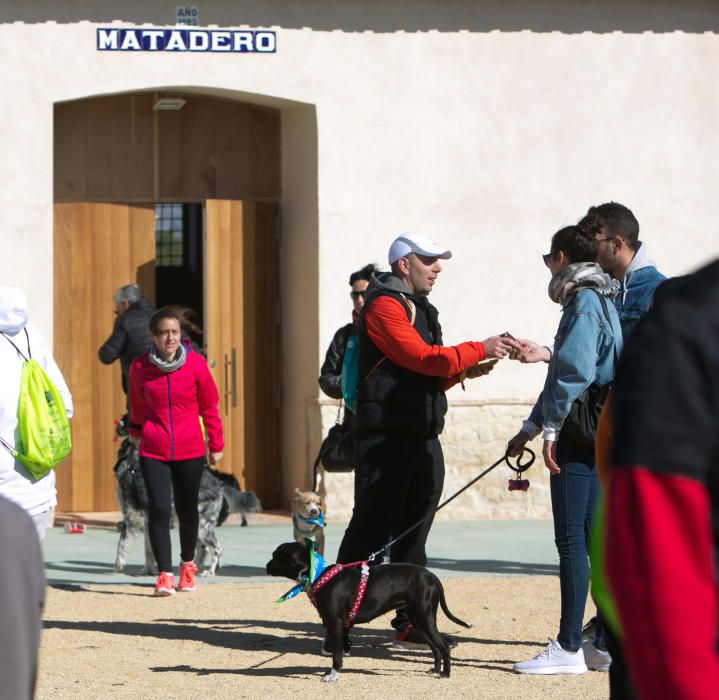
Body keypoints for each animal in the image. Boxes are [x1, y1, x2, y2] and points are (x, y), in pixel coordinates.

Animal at [111, 440, 260, 576]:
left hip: (202, 527)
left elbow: (121, 543)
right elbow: (149, 549)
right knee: (204, 549)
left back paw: (209, 572)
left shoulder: (132, 517)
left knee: (217, 549)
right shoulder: (148, 521)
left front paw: (118, 566)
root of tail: (219, 484)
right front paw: (148, 570)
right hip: (197, 525)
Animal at [266, 540, 472, 684]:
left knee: (442, 646)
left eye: (276, 556)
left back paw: (445, 674)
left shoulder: (335, 622)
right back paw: (436, 670)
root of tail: (432, 576)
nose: (266, 566)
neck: (319, 575)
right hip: (418, 619)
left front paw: (333, 675)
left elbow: (337, 655)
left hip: (424, 617)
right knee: (435, 647)